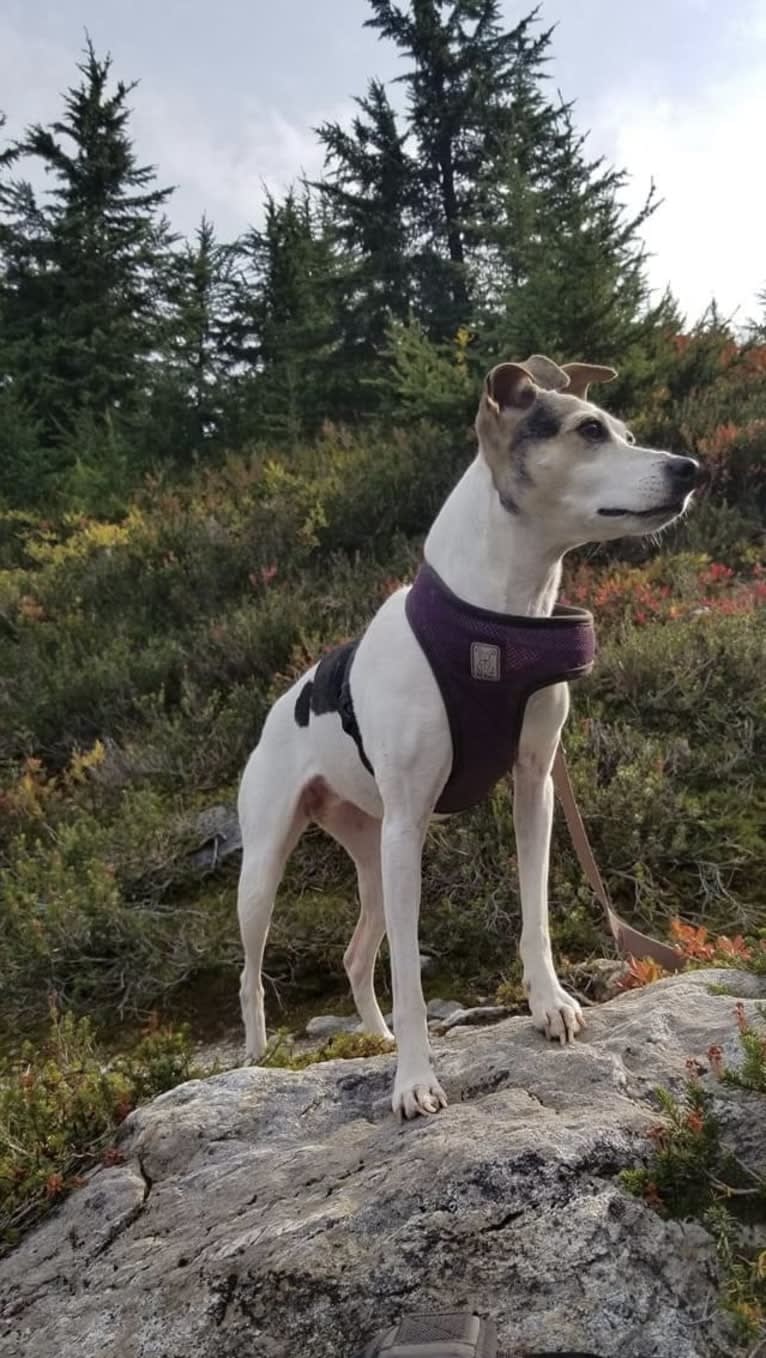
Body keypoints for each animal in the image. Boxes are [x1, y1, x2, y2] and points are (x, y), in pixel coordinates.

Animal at [236, 355, 695, 1118]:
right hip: (269, 867)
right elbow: (411, 979)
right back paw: (256, 1058)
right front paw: (415, 1080)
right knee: (251, 972)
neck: (497, 623)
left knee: (356, 954)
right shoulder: (410, 827)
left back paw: (376, 1039)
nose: (690, 469)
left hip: (371, 856)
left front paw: (548, 1003)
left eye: (627, 433)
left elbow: (535, 914)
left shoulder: (535, 787)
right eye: (589, 431)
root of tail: (279, 707)